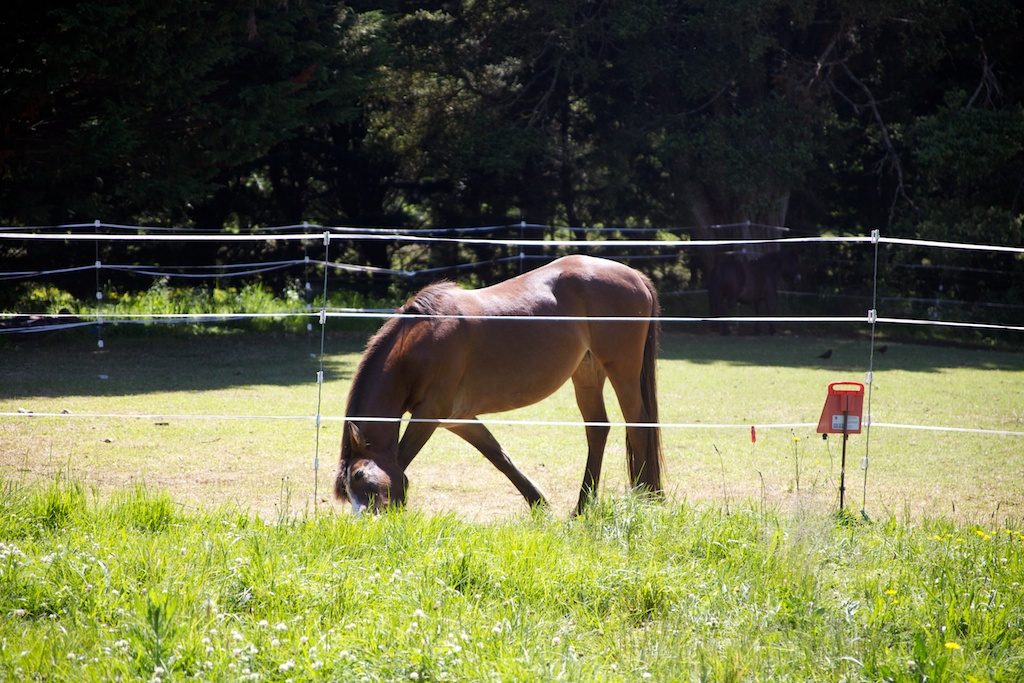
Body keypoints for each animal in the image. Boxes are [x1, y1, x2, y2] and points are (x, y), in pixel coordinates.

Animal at [333, 253, 663, 516]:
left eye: (361, 476)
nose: (368, 522)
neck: (423, 340)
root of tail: (635, 275)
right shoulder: (458, 419)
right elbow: (498, 456)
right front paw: (539, 505)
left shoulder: (429, 414)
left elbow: (401, 459)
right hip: (587, 373)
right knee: (597, 429)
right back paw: (581, 508)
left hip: (622, 369)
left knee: (638, 425)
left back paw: (645, 499)